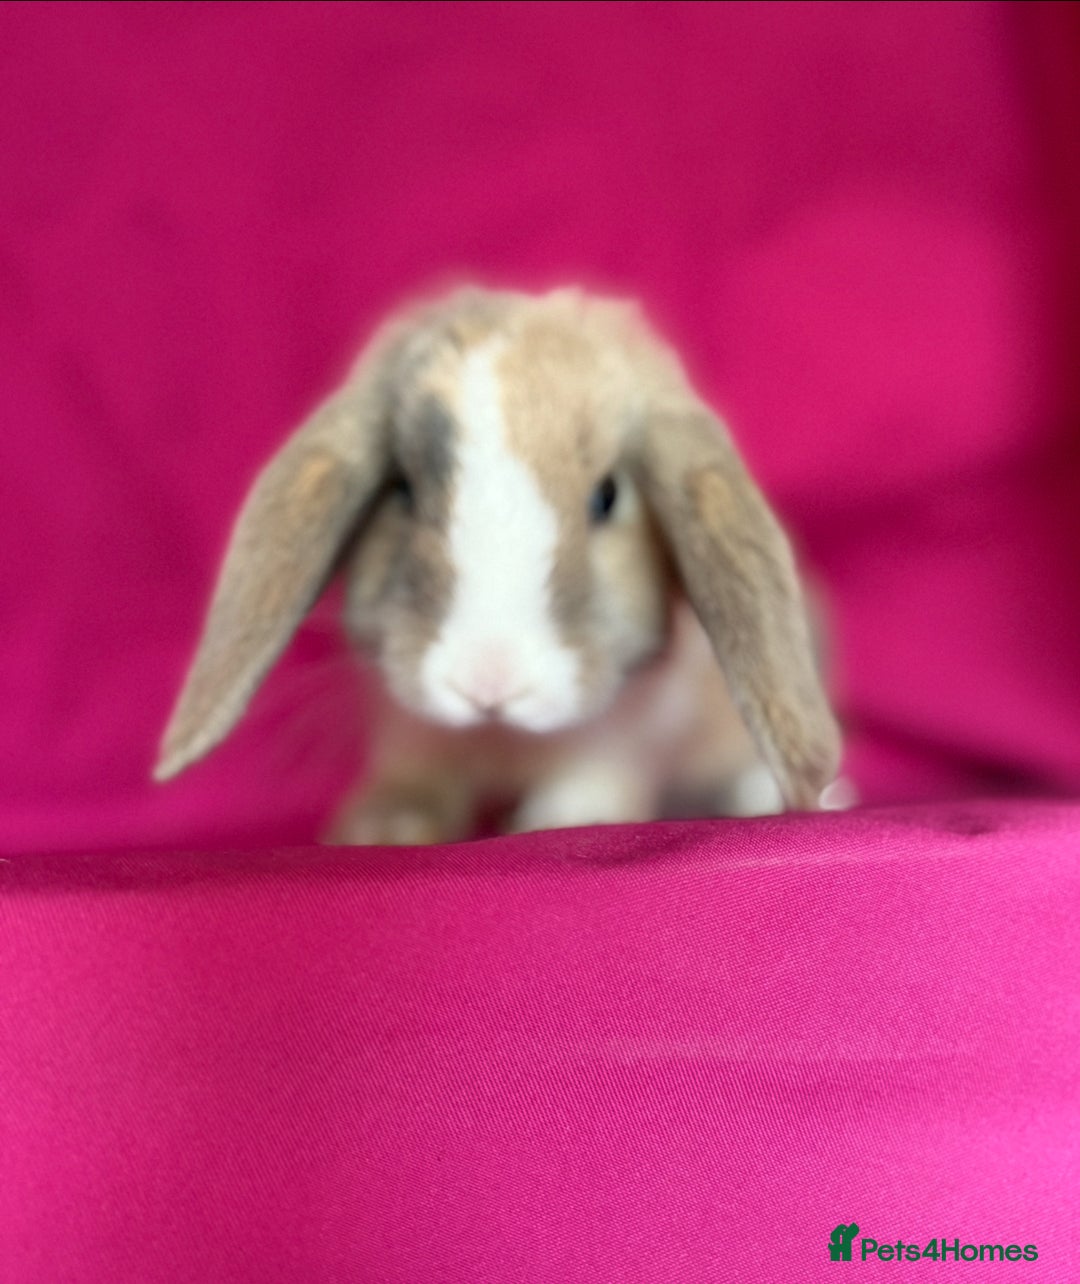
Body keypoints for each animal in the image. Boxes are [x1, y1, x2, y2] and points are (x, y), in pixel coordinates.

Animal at [154, 286, 843, 844]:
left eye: (607, 496)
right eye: (403, 490)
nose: (488, 682)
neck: (501, 739)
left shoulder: (634, 729)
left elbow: (598, 768)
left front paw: (565, 821)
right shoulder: (408, 727)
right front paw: (385, 826)